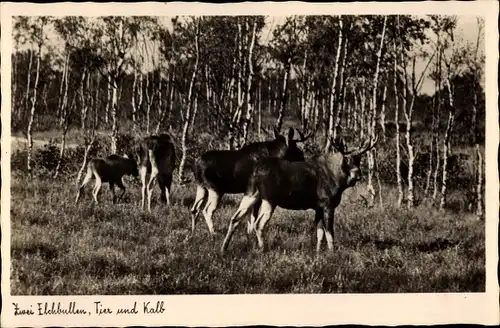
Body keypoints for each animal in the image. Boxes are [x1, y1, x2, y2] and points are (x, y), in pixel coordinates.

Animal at [221, 134, 376, 254]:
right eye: (346, 158)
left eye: (359, 159)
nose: (357, 175)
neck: (339, 179)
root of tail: (255, 172)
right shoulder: (328, 204)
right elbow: (330, 232)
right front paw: (332, 253)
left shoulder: (318, 207)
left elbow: (320, 232)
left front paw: (318, 252)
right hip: (269, 199)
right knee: (258, 224)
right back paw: (262, 249)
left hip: (251, 193)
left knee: (235, 218)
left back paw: (224, 248)